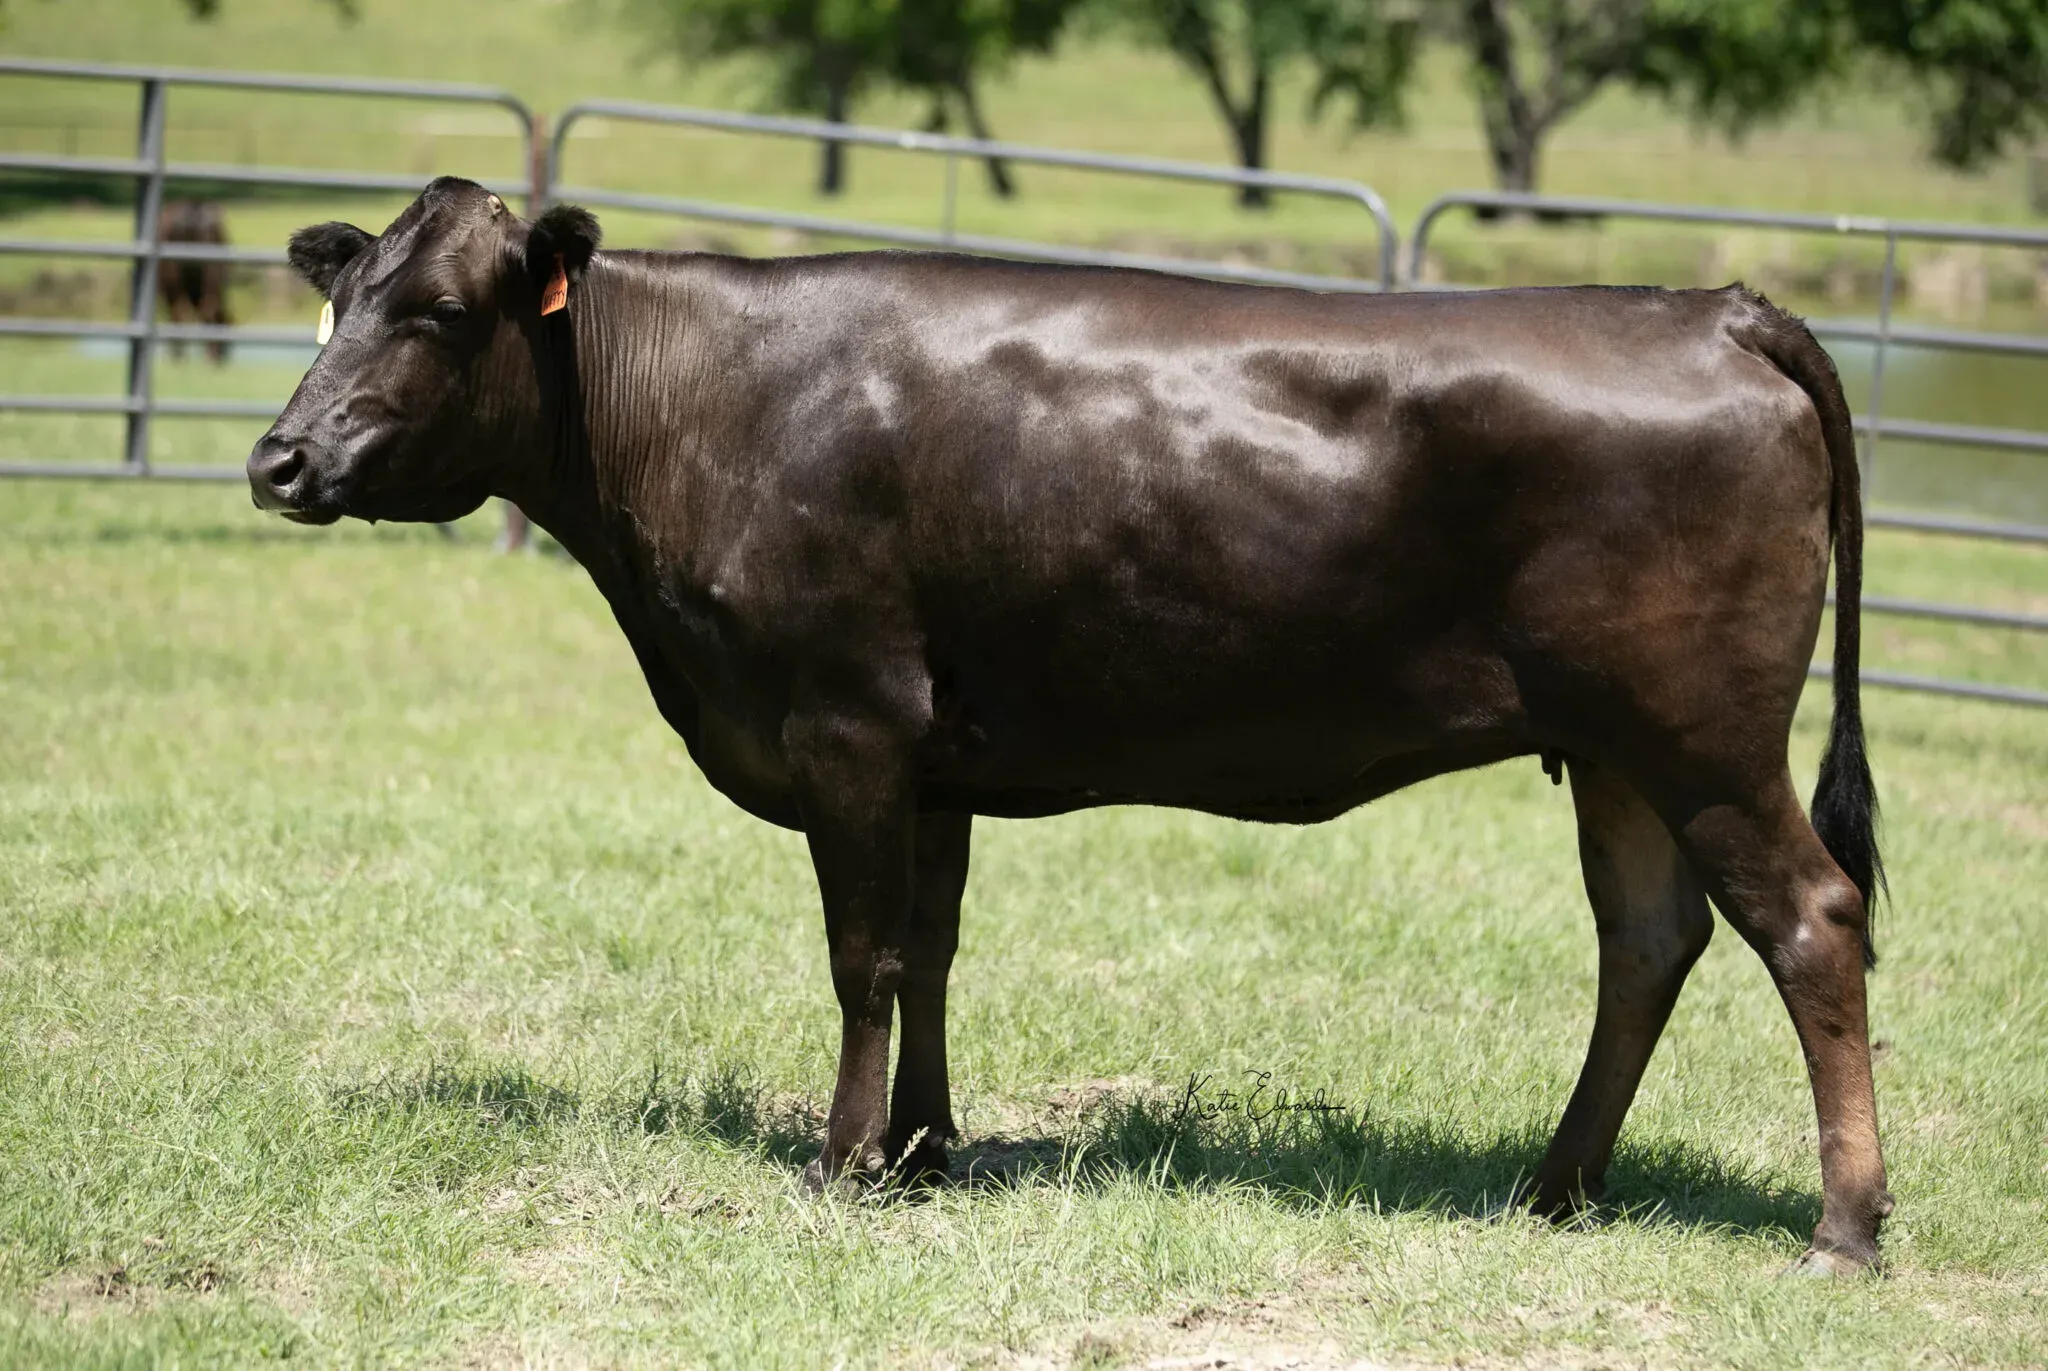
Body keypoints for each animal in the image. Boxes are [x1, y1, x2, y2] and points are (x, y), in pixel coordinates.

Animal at [248, 177, 1892, 1276]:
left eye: (440, 314)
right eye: (339, 297)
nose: (278, 460)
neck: (704, 408)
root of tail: (1709, 307)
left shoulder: (844, 718)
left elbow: (860, 956)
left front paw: (840, 1165)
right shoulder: (932, 757)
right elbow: (930, 948)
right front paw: (922, 1149)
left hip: (1699, 736)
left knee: (1809, 921)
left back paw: (1843, 1227)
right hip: (1615, 750)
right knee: (1648, 940)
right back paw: (1553, 1189)